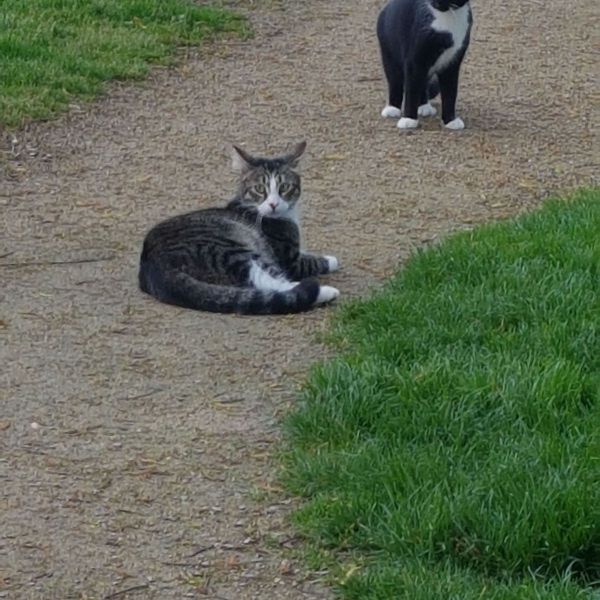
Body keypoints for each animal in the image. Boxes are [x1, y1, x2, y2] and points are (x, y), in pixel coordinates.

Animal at [138, 143, 340, 316]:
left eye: (284, 187)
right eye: (259, 189)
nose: (273, 204)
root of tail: (155, 264)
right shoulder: (290, 259)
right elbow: (312, 262)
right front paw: (332, 260)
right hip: (232, 249)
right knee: (266, 281)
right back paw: (325, 291)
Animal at [378, 0, 472, 130]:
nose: (435, 3)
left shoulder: (452, 63)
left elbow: (450, 92)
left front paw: (450, 120)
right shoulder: (415, 60)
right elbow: (412, 90)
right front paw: (408, 119)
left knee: (422, 82)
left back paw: (424, 106)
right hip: (389, 53)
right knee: (395, 81)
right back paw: (392, 108)